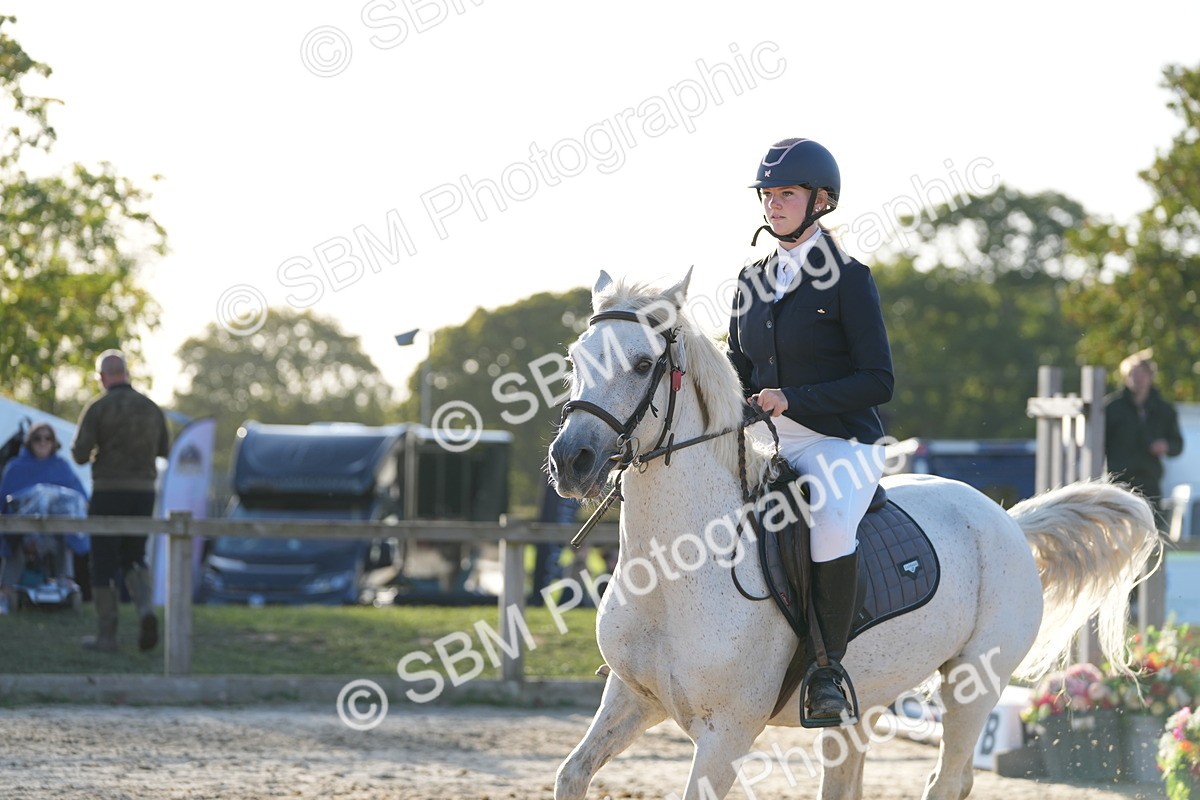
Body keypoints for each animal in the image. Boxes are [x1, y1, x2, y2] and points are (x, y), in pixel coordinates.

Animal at [546, 269, 1162, 800]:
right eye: (575, 359)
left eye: (642, 363)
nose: (571, 461)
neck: (673, 570)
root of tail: (1005, 519)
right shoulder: (631, 697)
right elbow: (571, 774)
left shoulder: (727, 734)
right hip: (865, 698)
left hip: (973, 685)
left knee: (948, 781)